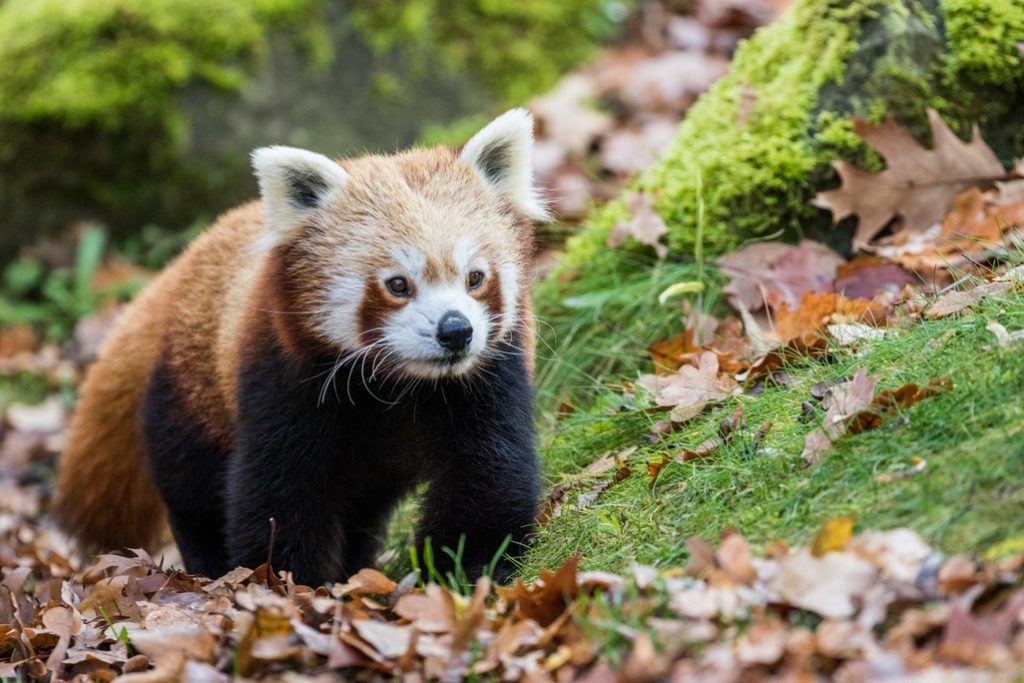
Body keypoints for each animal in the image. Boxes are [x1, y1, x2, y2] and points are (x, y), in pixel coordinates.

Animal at [51, 109, 548, 585]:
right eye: (398, 285)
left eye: (475, 278)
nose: (455, 330)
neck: (401, 384)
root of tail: (179, 269)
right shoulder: (285, 377)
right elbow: (278, 494)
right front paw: (289, 583)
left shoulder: (486, 378)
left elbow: (487, 476)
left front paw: (470, 571)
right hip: (190, 396)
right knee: (195, 497)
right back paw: (210, 566)